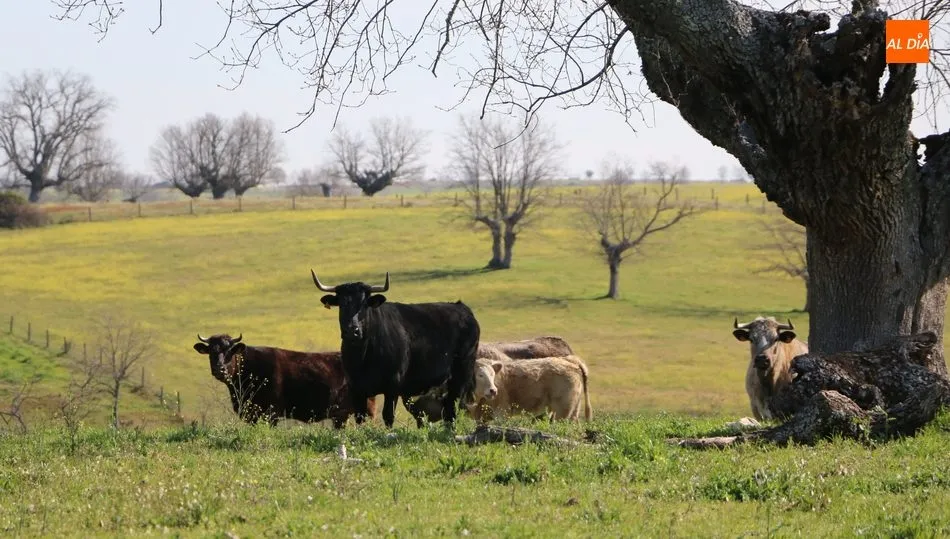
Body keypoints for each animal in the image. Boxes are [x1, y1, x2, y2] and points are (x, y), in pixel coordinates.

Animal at [193, 333, 376, 428]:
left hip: (366, 411)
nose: (219, 369)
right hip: (342, 416)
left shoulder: (272, 413)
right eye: (211, 352)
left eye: (230, 351)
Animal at [311, 270, 481, 429]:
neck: (363, 356)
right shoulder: (356, 387)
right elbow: (360, 418)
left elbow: (388, 416)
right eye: (342, 303)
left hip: (462, 374)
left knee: (454, 408)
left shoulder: (393, 385)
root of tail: (462, 308)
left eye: (365, 304)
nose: (352, 331)